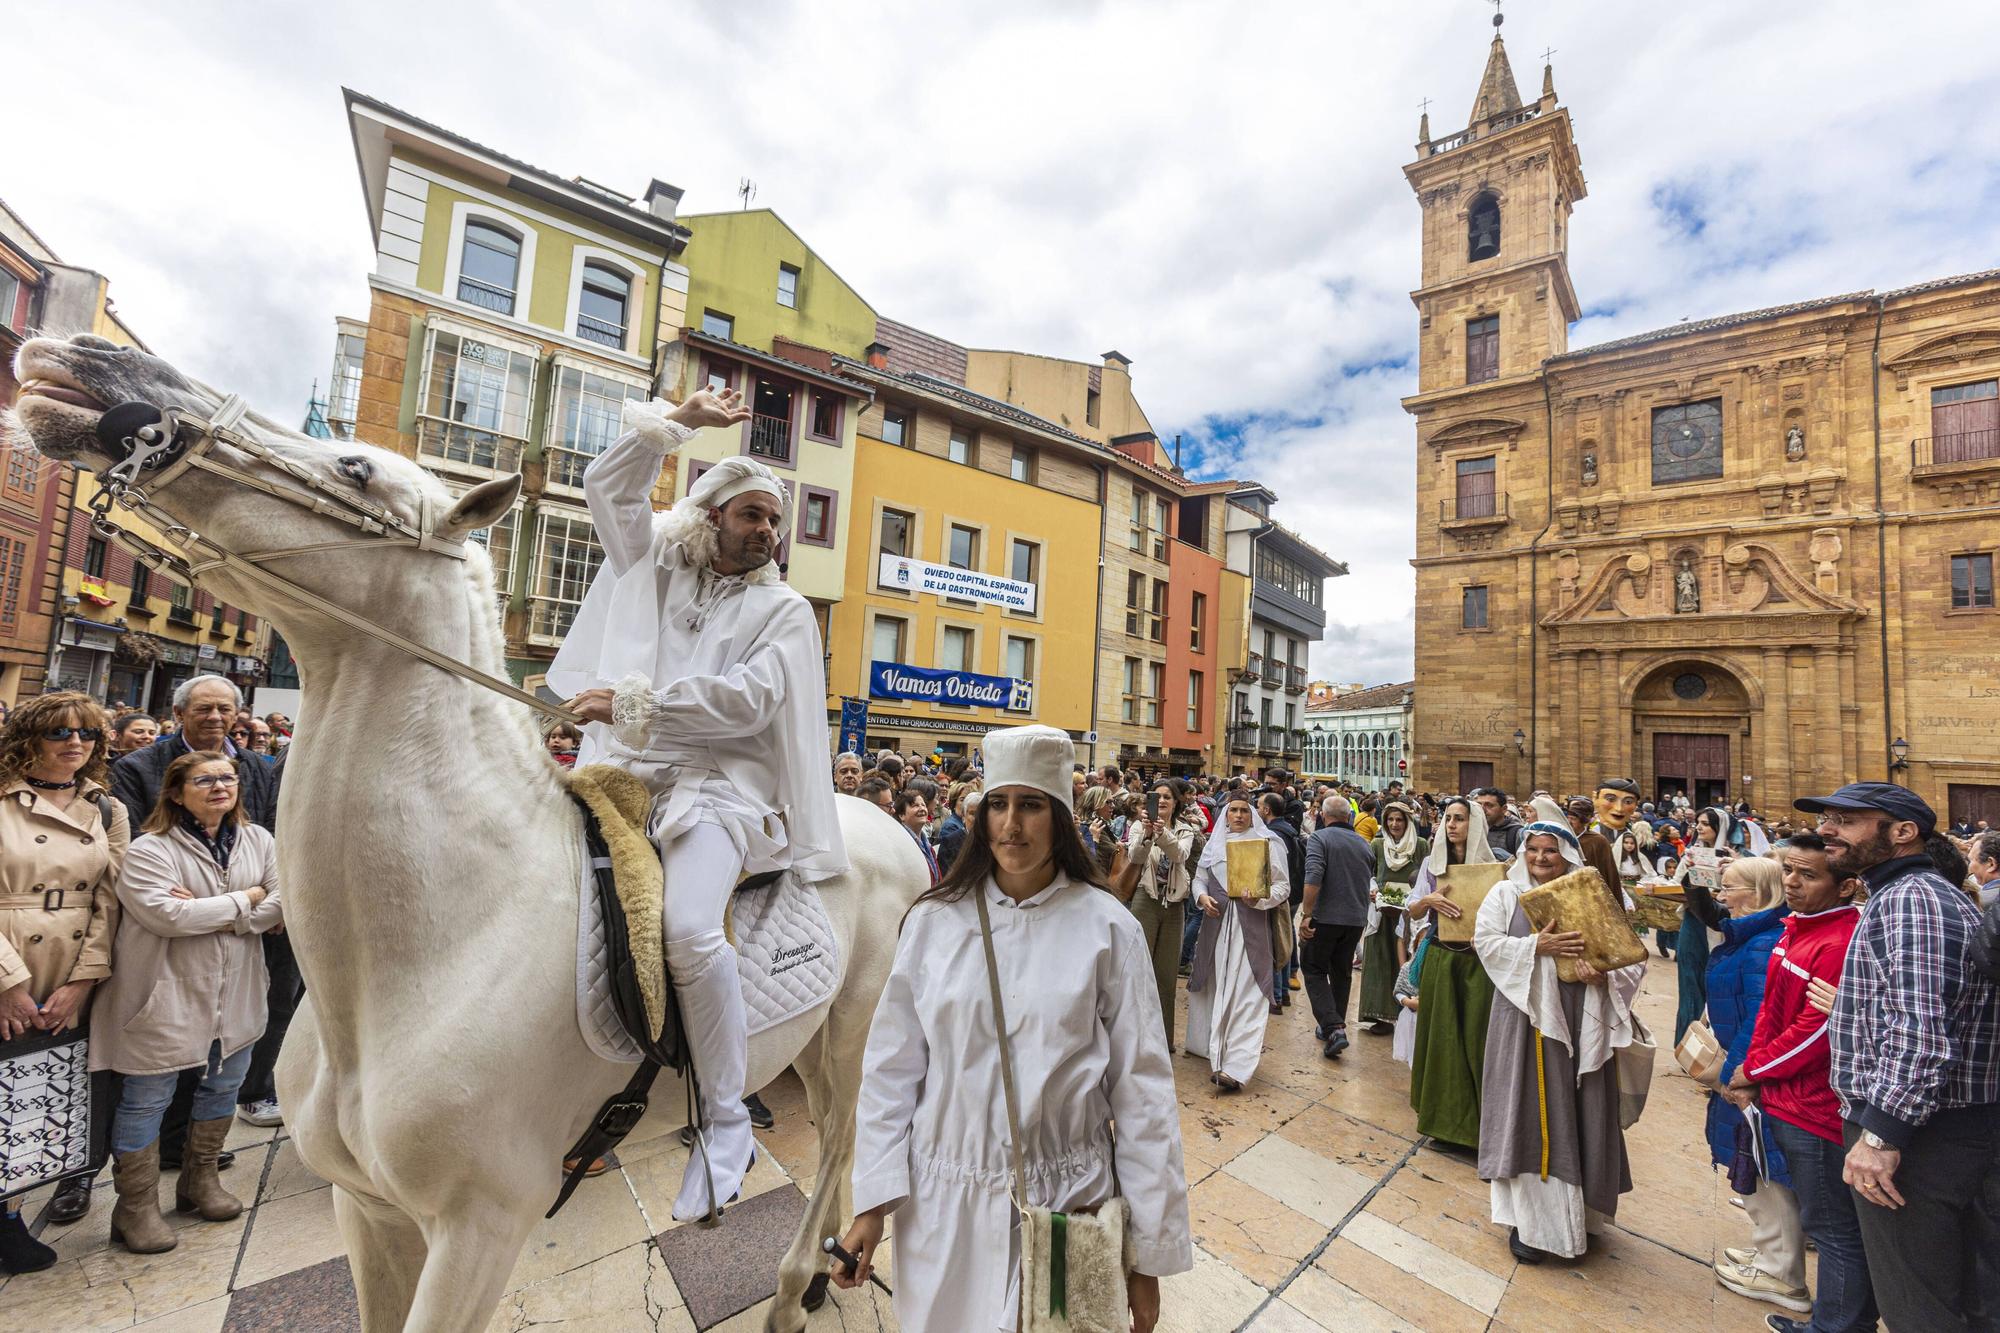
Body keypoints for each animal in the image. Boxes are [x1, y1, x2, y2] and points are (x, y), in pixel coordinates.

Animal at [7, 330, 932, 1320]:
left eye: (357, 468)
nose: (92, 364)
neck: (442, 939)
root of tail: (900, 838)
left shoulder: (483, 1224)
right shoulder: (367, 1207)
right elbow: (617, 503)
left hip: (856, 1030)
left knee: (843, 1138)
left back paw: (798, 1277)